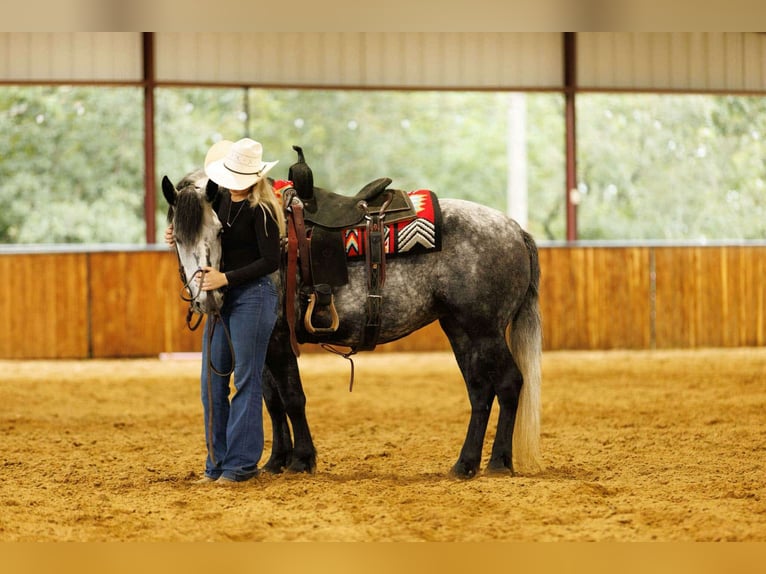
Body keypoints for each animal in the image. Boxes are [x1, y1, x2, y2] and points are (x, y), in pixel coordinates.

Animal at [162, 158, 543, 479]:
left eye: (219, 230)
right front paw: (275, 461)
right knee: (480, 391)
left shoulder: (279, 339)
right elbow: (271, 401)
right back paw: (465, 464)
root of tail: (514, 229)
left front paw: (302, 460)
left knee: (509, 384)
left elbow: (292, 398)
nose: (207, 297)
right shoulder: (264, 342)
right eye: (177, 238)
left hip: (486, 331)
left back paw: (498, 462)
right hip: (461, 330)